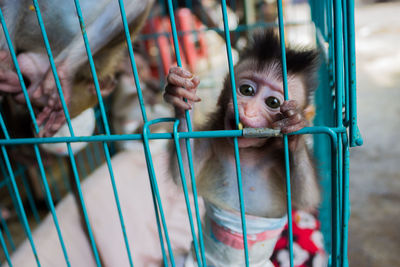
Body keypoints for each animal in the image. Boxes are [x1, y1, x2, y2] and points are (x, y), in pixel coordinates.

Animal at [164, 30, 320, 266]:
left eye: (273, 102)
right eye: (246, 90)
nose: (247, 109)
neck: (246, 152)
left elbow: (306, 198)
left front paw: (295, 126)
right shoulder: (211, 136)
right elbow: (184, 173)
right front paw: (180, 95)